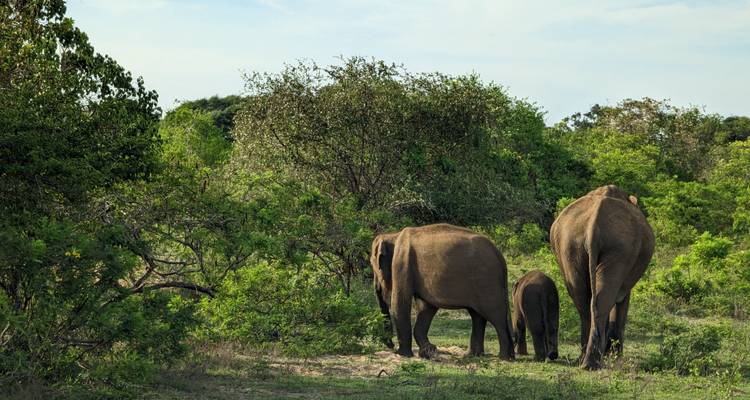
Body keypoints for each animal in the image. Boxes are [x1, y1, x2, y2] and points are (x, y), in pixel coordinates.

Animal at [370, 223, 514, 360]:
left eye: (373, 265)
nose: (391, 346)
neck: (393, 235)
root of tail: (500, 256)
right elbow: (426, 307)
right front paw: (428, 351)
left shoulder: (402, 264)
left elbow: (401, 303)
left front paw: (404, 354)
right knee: (477, 315)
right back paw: (472, 355)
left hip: (487, 282)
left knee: (495, 316)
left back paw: (504, 357)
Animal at [550, 185, 654, 370]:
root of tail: (593, 225)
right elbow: (622, 299)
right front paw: (615, 356)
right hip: (620, 248)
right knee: (602, 299)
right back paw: (593, 363)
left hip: (570, 247)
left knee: (584, 301)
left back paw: (584, 361)